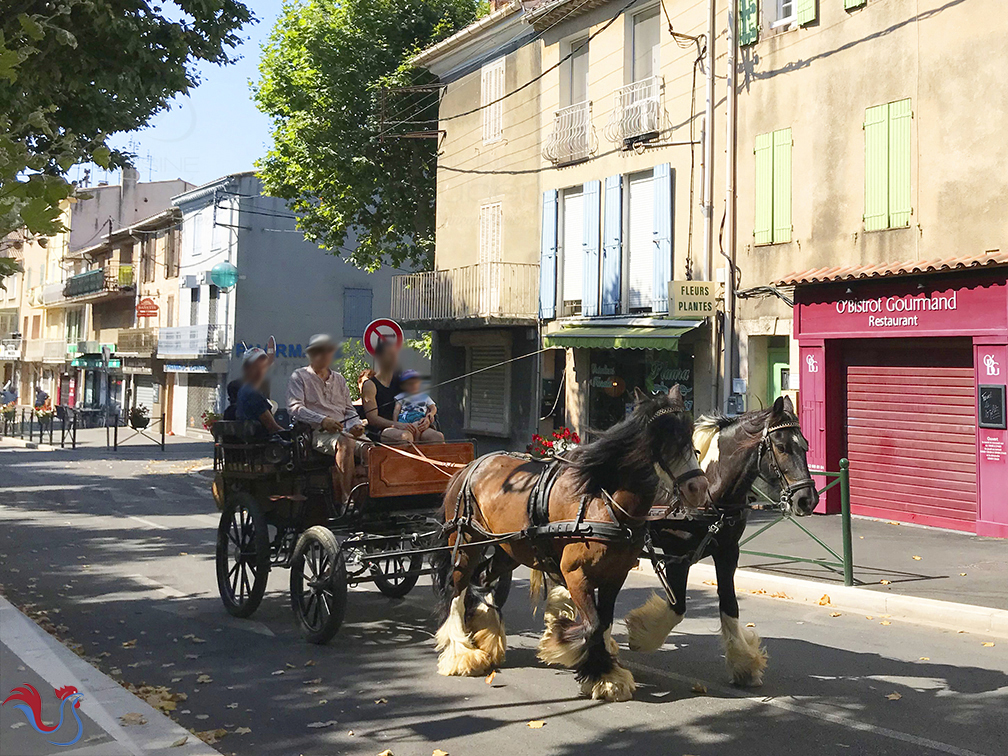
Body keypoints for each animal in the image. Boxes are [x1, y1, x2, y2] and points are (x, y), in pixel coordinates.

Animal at [433, 387, 709, 709]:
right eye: (660, 439)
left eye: (689, 436)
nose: (698, 488)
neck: (603, 503)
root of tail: (468, 468)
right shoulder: (576, 574)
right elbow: (592, 625)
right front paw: (564, 642)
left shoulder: (615, 576)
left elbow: (603, 622)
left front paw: (604, 673)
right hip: (465, 543)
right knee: (456, 590)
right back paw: (461, 653)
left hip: (507, 550)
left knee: (482, 580)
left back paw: (486, 637)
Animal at [620, 399, 818, 689]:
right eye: (781, 447)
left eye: (805, 445)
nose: (808, 499)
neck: (711, 493)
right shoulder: (677, 554)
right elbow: (678, 607)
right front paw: (640, 635)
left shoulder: (727, 553)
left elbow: (729, 605)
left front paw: (744, 664)